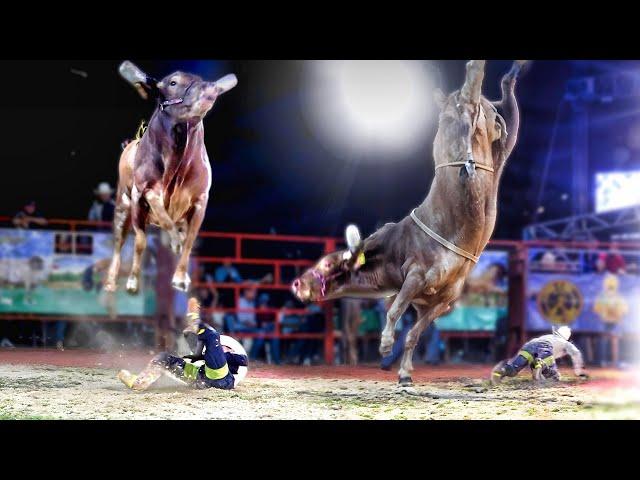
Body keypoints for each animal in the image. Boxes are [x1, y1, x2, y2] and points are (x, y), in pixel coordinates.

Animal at [105, 62, 238, 294]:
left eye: (200, 79)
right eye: (173, 82)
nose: (209, 88)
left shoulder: (200, 200)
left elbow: (190, 241)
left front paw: (180, 277)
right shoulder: (144, 193)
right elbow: (144, 237)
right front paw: (133, 280)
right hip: (122, 207)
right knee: (120, 243)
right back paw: (113, 281)